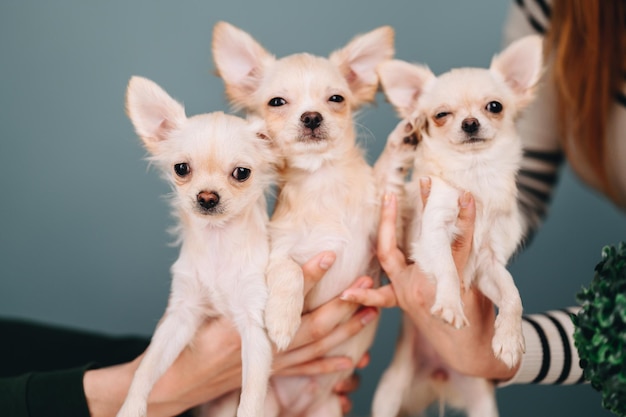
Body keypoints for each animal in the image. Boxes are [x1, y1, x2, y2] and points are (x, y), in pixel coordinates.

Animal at [117, 75, 272, 416]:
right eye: (181, 169)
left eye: (242, 173)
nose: (207, 197)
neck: (217, 242)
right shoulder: (181, 315)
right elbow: (146, 368)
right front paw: (131, 407)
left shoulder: (254, 325)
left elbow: (252, 394)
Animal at [212, 22, 392, 416]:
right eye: (277, 102)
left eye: (336, 99)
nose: (311, 117)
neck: (322, 181)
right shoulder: (278, 252)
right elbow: (289, 270)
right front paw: (282, 319)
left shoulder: (375, 250)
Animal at [370, 35, 540, 416]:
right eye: (441, 115)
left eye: (494, 106)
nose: (471, 123)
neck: (474, 173)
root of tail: (438, 377)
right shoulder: (431, 234)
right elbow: (448, 267)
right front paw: (450, 303)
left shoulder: (489, 263)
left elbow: (513, 295)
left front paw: (510, 338)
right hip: (389, 395)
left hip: (481, 402)